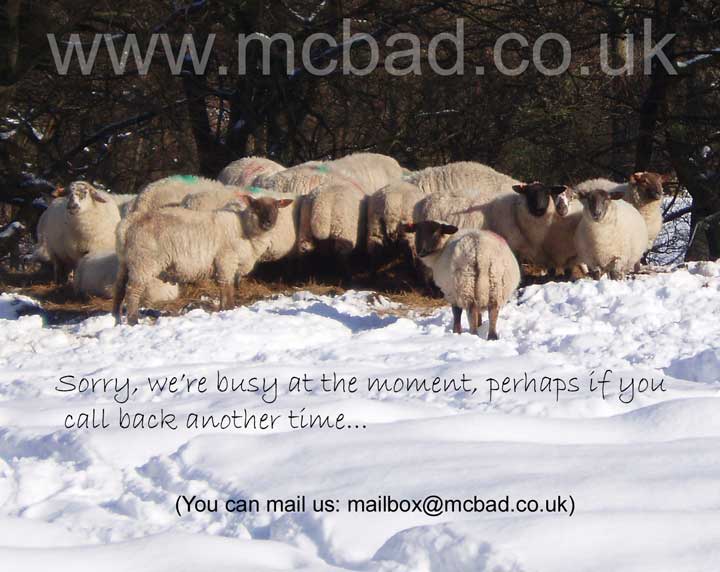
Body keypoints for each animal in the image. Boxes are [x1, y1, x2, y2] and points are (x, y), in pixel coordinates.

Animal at [113, 195, 293, 325]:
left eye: (276, 207)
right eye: (256, 207)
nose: (268, 223)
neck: (245, 229)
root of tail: (127, 223)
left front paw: (224, 309)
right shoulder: (225, 260)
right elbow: (226, 288)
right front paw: (228, 309)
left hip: (126, 260)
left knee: (120, 288)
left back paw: (116, 318)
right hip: (144, 261)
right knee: (132, 291)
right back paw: (133, 321)